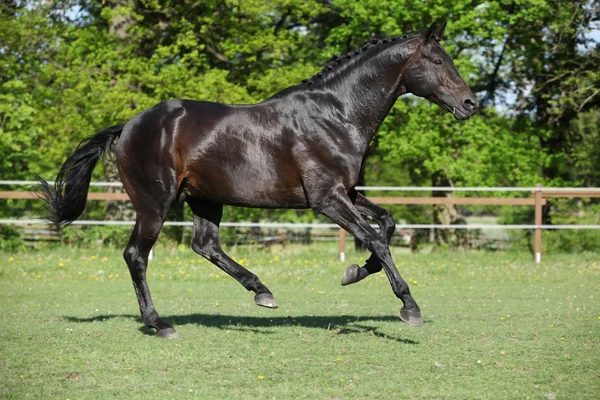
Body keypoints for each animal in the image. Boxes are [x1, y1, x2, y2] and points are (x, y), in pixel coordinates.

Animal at [38, 20, 478, 336]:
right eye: (438, 61)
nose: (470, 104)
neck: (337, 115)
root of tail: (128, 126)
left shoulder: (348, 192)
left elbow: (386, 225)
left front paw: (353, 273)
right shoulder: (326, 198)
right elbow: (376, 238)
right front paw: (409, 306)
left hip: (204, 198)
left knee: (205, 245)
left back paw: (262, 293)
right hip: (154, 204)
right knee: (136, 255)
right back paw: (159, 323)